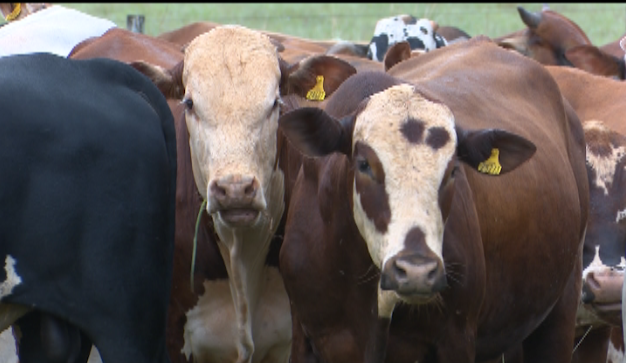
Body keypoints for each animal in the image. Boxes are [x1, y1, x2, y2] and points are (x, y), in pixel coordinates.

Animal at [276, 36, 588, 363]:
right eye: (363, 164)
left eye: (453, 171)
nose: (416, 271)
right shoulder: (305, 334)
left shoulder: (456, 338)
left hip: (560, 311)